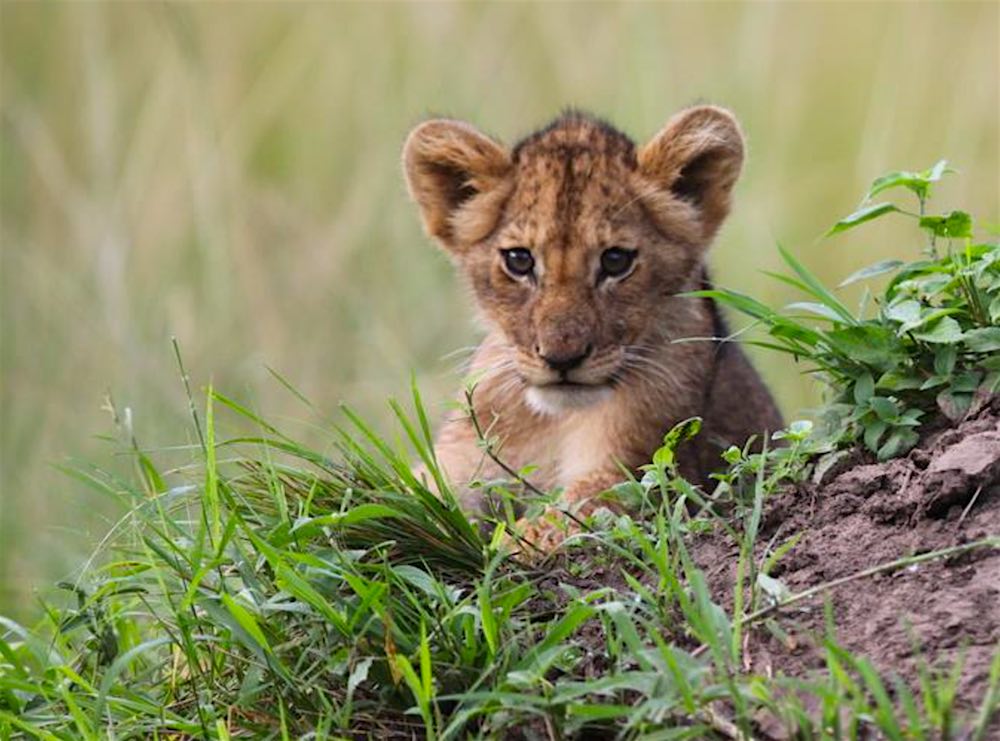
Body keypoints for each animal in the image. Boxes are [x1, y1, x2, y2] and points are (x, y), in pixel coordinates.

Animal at [402, 106, 783, 549]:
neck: (551, 419)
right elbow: (401, 492)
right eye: (519, 260)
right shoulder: (459, 459)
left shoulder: (642, 473)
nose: (561, 359)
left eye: (616, 260)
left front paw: (501, 548)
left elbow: (558, 522)